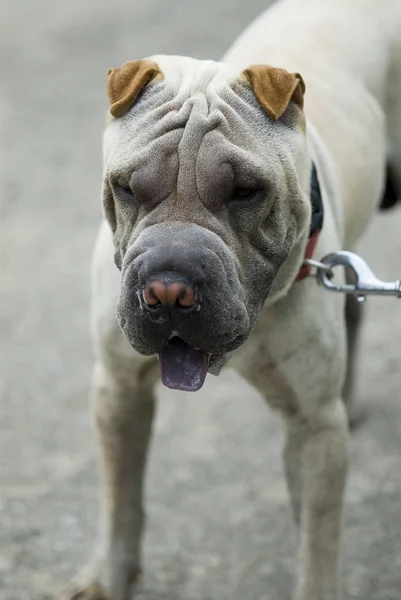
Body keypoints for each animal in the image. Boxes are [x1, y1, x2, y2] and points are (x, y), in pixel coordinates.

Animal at [60, 2, 400, 596]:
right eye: (126, 188)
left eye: (245, 192)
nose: (168, 289)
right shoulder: (118, 388)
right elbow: (120, 499)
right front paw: (109, 576)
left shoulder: (314, 427)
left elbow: (317, 548)